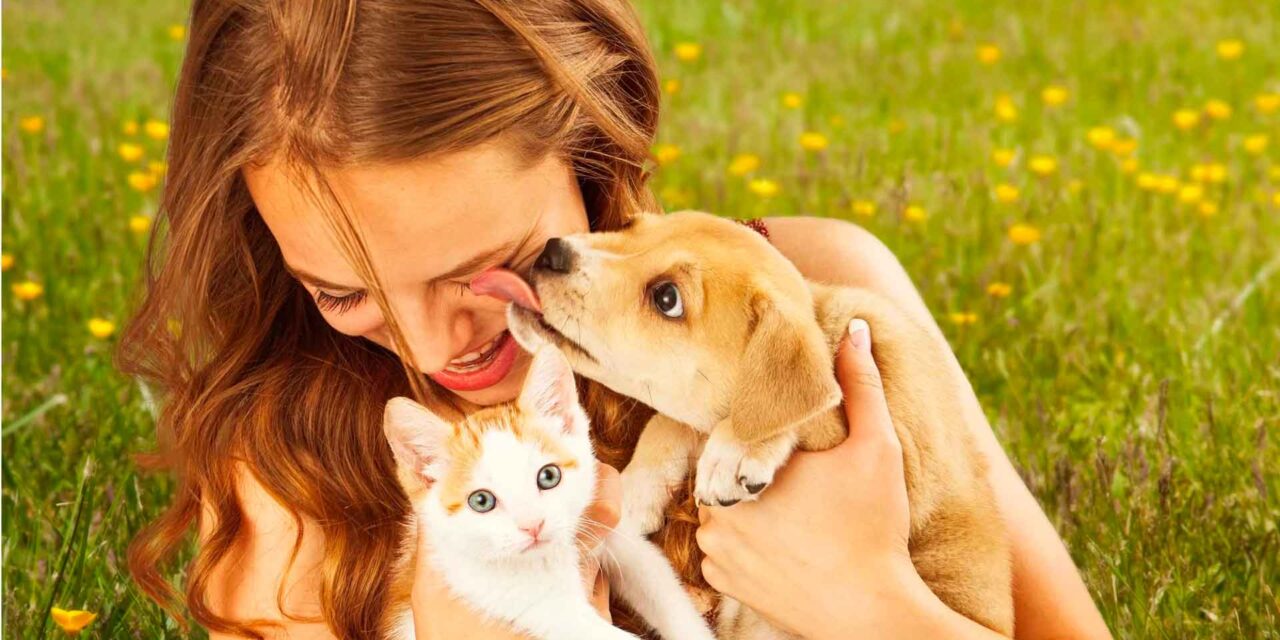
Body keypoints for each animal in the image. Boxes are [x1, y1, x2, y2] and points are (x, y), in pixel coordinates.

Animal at [378, 345, 721, 640]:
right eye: (481, 501)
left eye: (548, 476)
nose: (533, 526)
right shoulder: (518, 599)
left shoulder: (611, 532)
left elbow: (664, 591)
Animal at [504, 211, 1013, 640]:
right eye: (632, 227)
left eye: (667, 298)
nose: (552, 251)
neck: (824, 320)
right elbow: (672, 422)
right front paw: (636, 492)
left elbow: (792, 410)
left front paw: (736, 452)